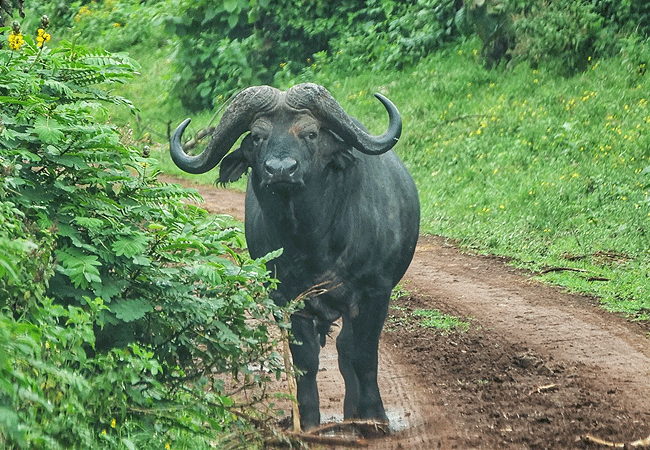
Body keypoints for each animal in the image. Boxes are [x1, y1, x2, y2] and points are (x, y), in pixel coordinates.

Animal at [170, 82, 418, 430]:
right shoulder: (287, 299)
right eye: (257, 136)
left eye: (311, 134)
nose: (281, 170)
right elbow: (306, 361)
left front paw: (375, 418)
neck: (314, 241)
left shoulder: (376, 292)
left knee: (347, 350)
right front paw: (309, 421)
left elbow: (365, 355)